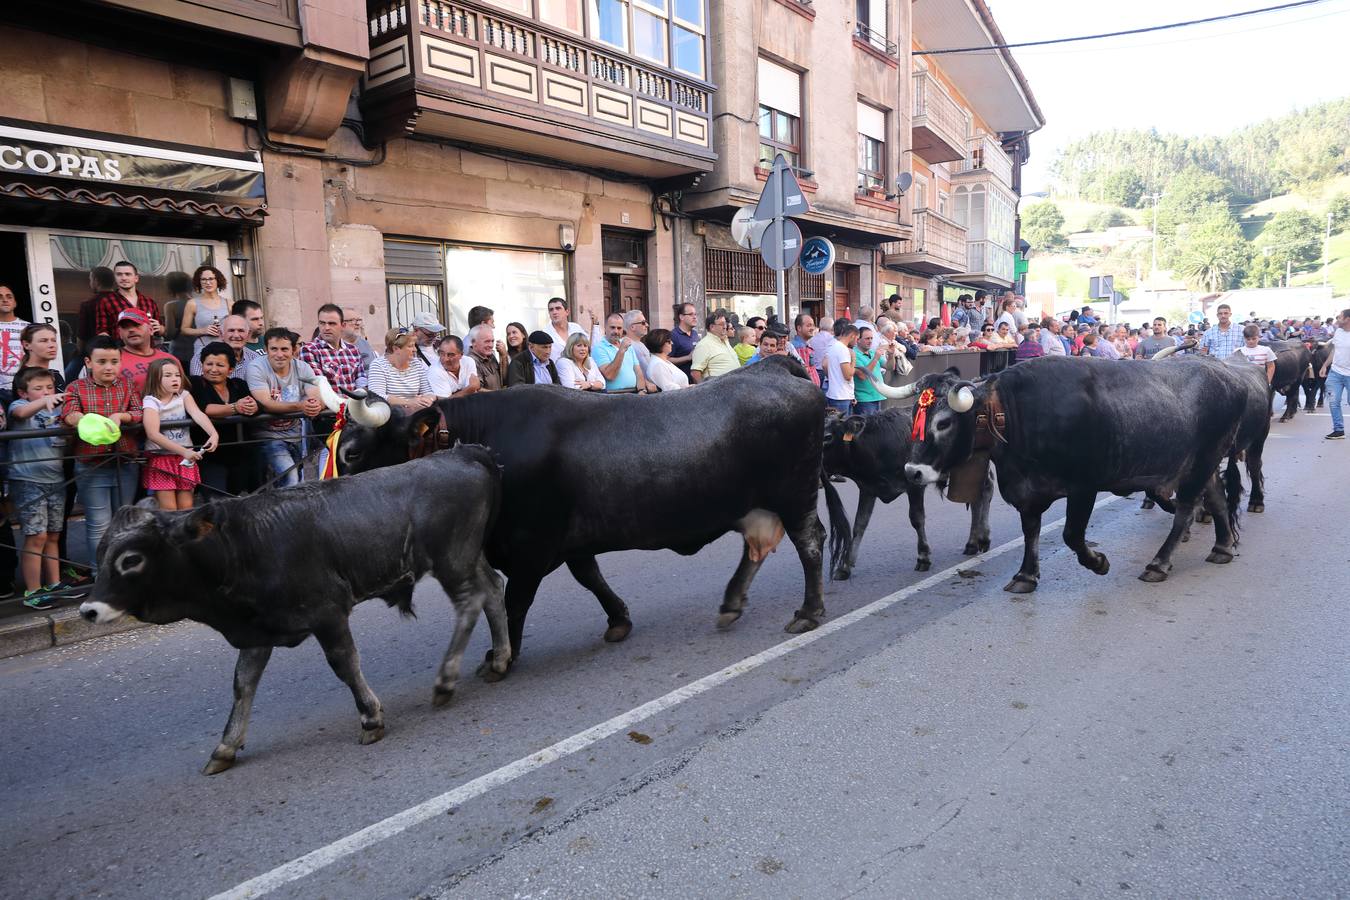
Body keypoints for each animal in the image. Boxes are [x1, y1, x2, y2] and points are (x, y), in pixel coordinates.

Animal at [80, 450, 510, 777]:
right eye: (99, 554)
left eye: (130, 559)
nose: (87, 609)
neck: (240, 545)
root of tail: (461, 453)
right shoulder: (257, 631)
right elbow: (243, 684)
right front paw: (225, 746)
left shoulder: (327, 612)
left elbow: (344, 665)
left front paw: (370, 718)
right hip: (468, 559)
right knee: (492, 591)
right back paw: (499, 660)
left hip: (452, 560)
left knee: (471, 602)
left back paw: (446, 681)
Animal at [337, 356, 842, 671]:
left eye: (354, 454)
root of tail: (773, 365)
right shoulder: (568, 541)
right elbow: (590, 578)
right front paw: (618, 619)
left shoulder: (531, 547)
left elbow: (515, 601)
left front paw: (504, 656)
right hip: (757, 502)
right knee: (758, 546)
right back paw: (733, 603)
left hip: (794, 495)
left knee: (809, 542)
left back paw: (809, 610)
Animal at [901, 356, 1258, 593]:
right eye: (914, 416)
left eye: (944, 422)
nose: (912, 472)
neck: (1016, 413)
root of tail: (1229, 375)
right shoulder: (1027, 492)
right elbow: (1031, 531)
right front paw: (1025, 576)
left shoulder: (1084, 486)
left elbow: (1072, 535)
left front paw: (1099, 562)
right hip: (1203, 463)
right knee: (1217, 499)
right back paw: (1223, 548)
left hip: (1202, 461)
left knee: (1185, 511)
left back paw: (1159, 563)